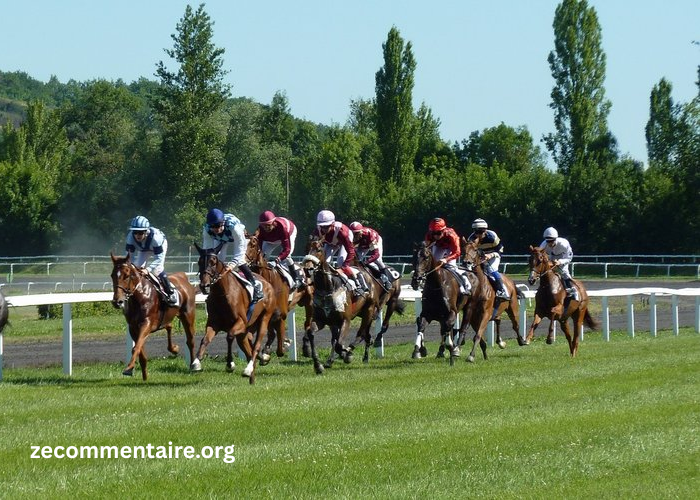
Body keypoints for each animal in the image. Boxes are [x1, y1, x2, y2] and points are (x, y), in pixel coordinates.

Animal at [109, 252, 197, 380]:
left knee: (190, 340)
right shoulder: (133, 327)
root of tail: (182, 277)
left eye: (126, 275)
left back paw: (194, 364)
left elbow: (136, 347)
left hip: (187, 315)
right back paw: (174, 349)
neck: (140, 296)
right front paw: (144, 375)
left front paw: (128, 368)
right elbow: (140, 350)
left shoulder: (147, 323)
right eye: (112, 275)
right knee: (169, 326)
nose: (117, 301)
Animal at [193, 244, 280, 384]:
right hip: (244, 333)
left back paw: (249, 368)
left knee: (256, 346)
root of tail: (267, 284)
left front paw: (230, 364)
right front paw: (196, 362)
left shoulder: (241, 322)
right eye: (199, 262)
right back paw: (252, 375)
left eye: (213, 262)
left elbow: (229, 336)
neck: (222, 294)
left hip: (264, 318)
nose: (204, 285)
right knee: (249, 350)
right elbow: (204, 339)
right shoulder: (213, 323)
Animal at [245, 230, 314, 364]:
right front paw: (265, 353)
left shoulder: (281, 315)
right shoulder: (266, 315)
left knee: (307, 324)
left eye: (253, 244)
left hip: (309, 303)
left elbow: (280, 350)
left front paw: (285, 344)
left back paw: (306, 349)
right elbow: (267, 336)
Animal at [300, 240, 378, 374]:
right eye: (306, 248)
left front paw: (346, 353)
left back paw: (349, 353)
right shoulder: (321, 320)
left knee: (360, 333)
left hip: (369, 311)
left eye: (319, 249)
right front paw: (318, 365)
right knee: (360, 335)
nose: (308, 268)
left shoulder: (345, 320)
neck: (328, 288)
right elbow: (311, 333)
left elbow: (339, 345)